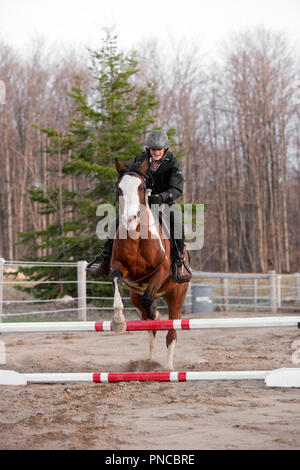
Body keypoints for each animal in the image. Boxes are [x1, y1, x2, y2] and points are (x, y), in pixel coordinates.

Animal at [111, 158, 191, 370]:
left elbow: (149, 300)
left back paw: (168, 367)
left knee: (171, 331)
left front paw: (155, 314)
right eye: (119, 188)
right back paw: (150, 361)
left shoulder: (160, 272)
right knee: (150, 329)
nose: (129, 220)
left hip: (176, 295)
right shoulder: (119, 268)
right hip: (135, 296)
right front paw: (119, 321)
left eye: (141, 187)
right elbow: (117, 283)